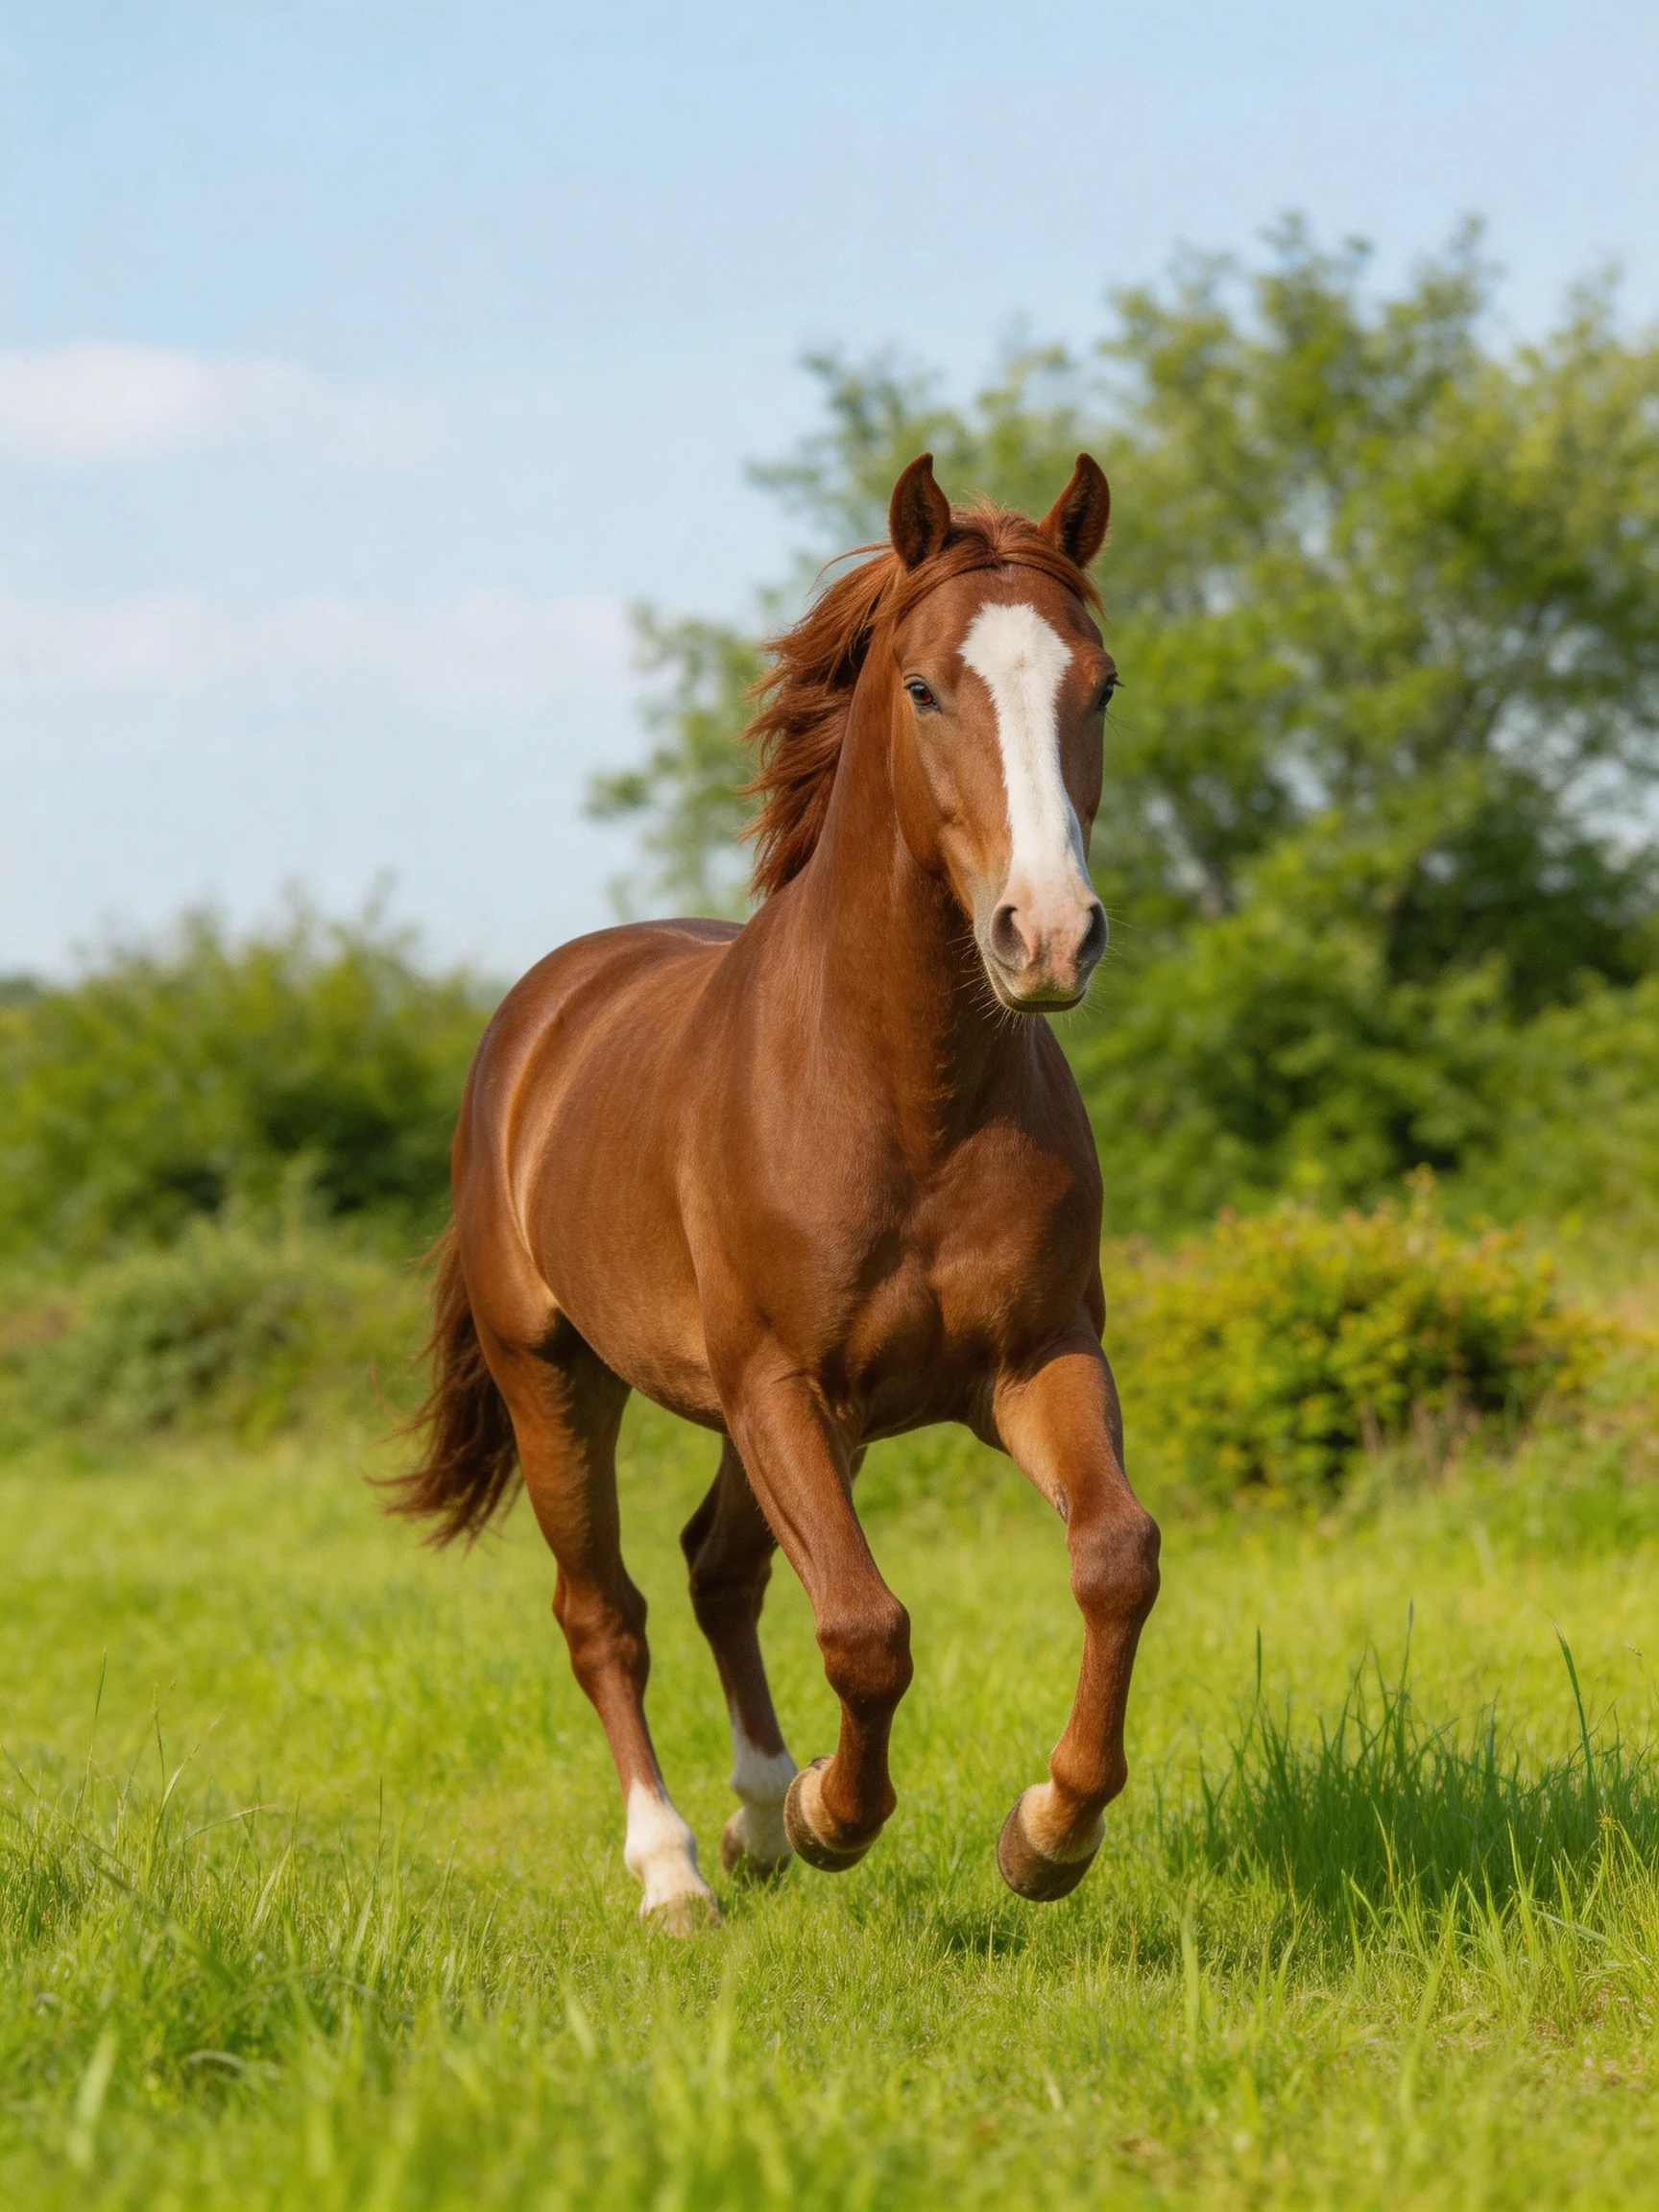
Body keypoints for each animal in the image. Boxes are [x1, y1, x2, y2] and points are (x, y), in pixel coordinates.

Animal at [389, 452, 1161, 1931]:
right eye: (923, 687)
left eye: (1100, 684)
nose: (1048, 937)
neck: (903, 1095)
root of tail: (539, 1016)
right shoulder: (779, 1385)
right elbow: (864, 1627)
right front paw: (833, 1815)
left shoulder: (1034, 1362)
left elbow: (1115, 1557)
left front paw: (1048, 1832)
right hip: (555, 1377)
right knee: (606, 1611)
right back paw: (677, 1869)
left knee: (717, 1567)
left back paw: (750, 1818)